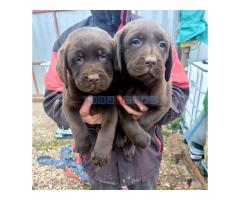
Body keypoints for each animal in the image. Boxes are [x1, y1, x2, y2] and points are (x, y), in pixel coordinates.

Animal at [56, 27, 118, 167]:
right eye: (78, 59)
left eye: (103, 56)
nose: (93, 78)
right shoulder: (68, 106)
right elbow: (77, 125)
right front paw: (83, 145)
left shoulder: (111, 106)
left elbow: (108, 128)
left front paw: (101, 154)